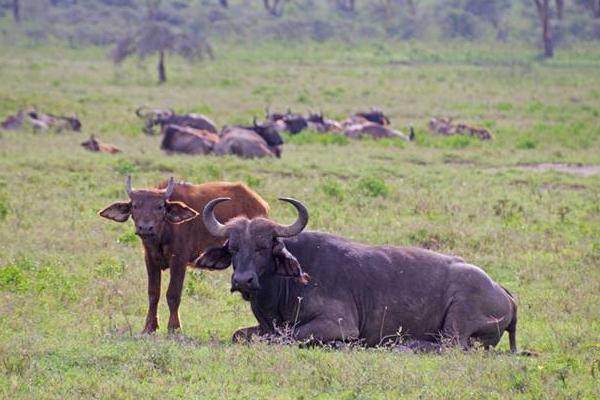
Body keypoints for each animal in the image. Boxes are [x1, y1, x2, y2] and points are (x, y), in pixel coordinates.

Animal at [99, 177, 268, 332]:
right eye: (135, 206)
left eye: (160, 206)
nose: (145, 228)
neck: (163, 234)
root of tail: (260, 203)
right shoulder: (150, 260)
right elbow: (153, 294)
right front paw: (149, 327)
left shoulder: (179, 260)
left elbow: (173, 294)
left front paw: (174, 328)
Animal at [195, 196, 516, 350]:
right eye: (233, 247)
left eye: (263, 247)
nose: (243, 280)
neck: (287, 287)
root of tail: (505, 294)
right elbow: (241, 335)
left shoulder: (337, 325)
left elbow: (285, 337)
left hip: (457, 323)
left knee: (449, 346)